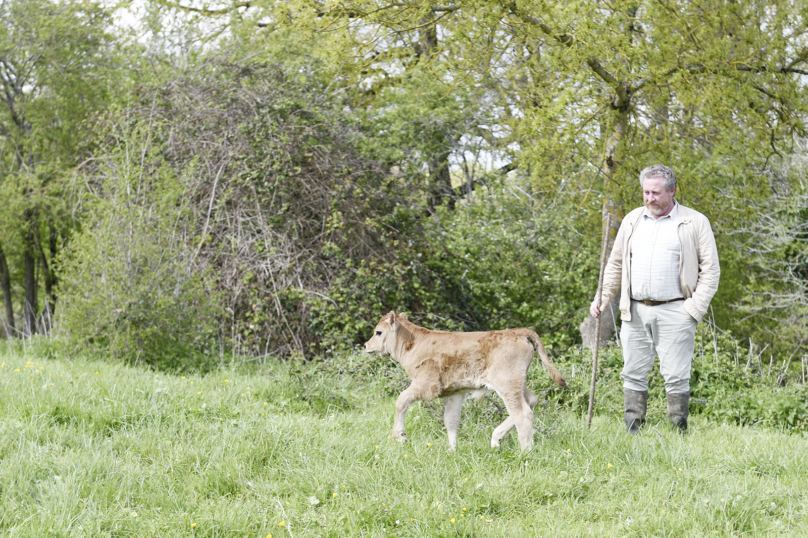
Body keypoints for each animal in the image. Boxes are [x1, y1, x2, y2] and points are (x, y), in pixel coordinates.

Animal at [366, 310, 568, 448]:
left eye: (378, 332)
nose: (366, 345)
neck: (414, 342)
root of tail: (516, 332)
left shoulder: (425, 385)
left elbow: (400, 401)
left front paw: (400, 436)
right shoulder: (455, 392)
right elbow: (451, 420)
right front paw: (451, 451)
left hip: (507, 385)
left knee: (522, 413)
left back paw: (524, 452)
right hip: (517, 384)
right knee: (531, 402)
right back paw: (496, 440)